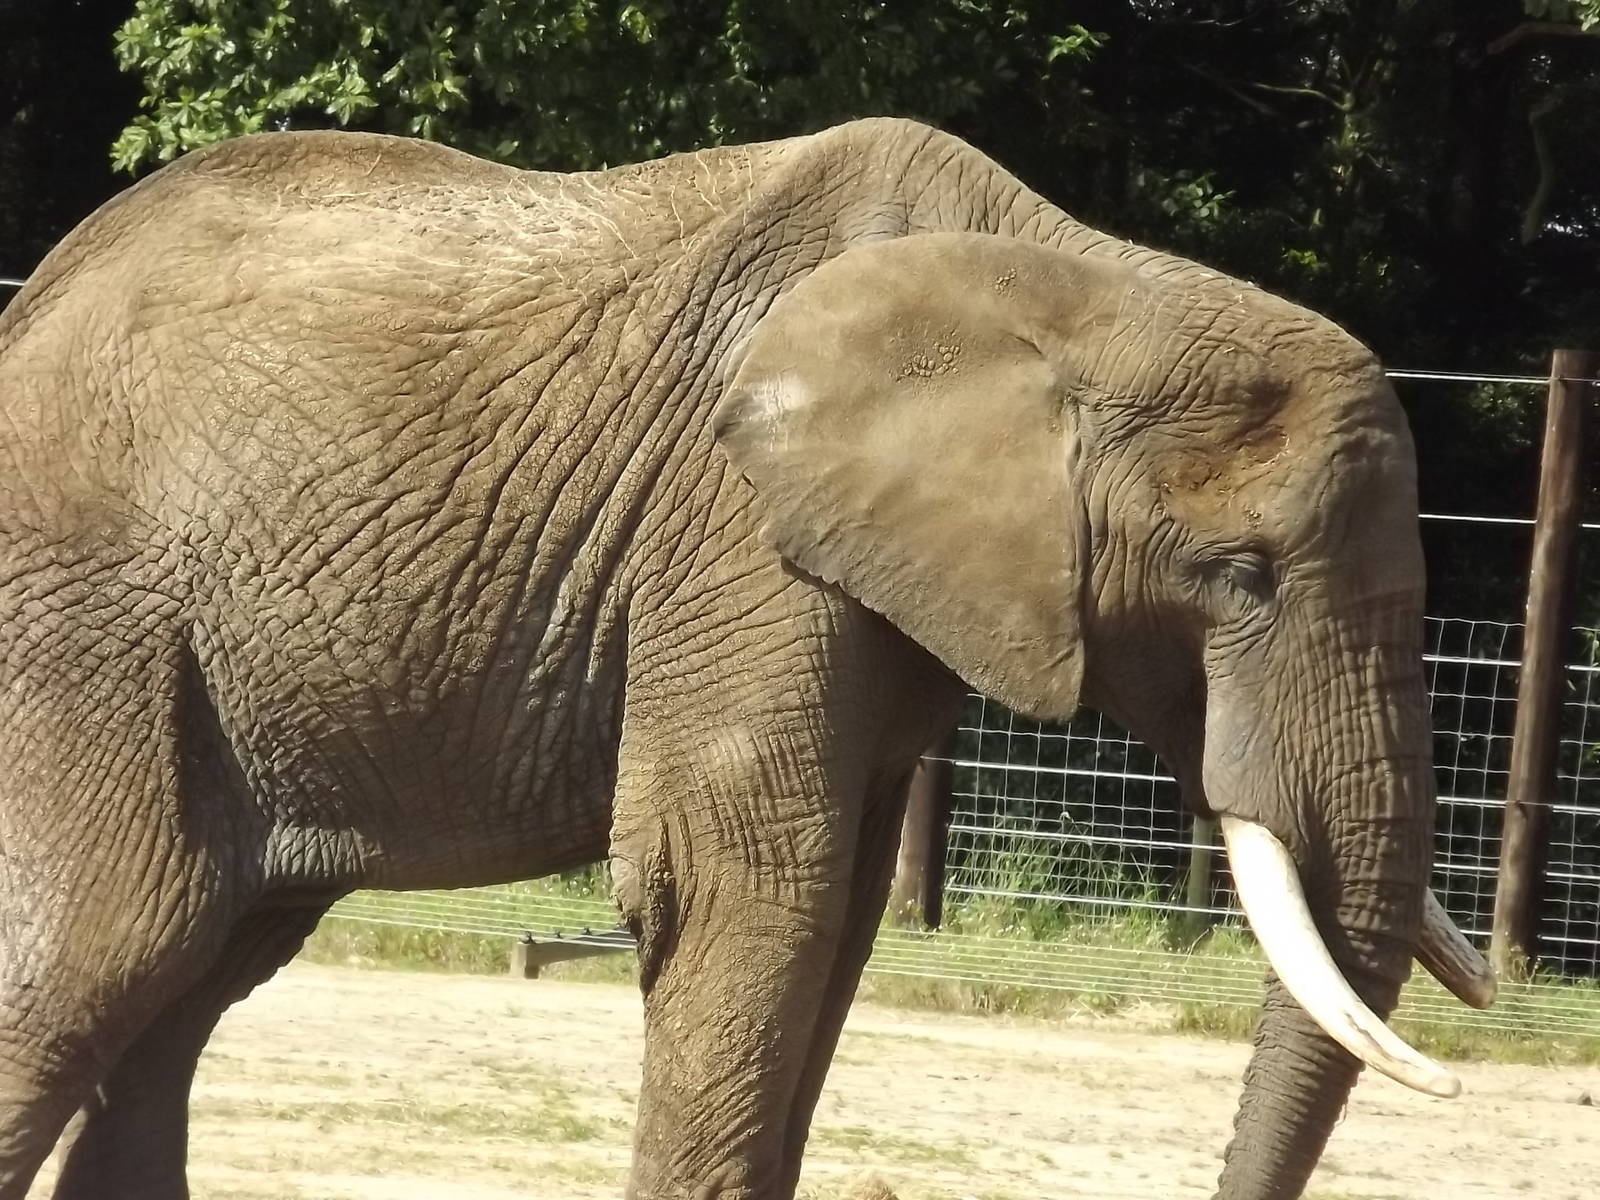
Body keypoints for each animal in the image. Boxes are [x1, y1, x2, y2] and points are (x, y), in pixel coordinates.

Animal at [0, 116, 1495, 1200]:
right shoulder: (732, 534)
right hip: (92, 616)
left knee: (195, 975)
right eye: (1236, 578)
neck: (1087, 282)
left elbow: (838, 922)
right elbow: (741, 888)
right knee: (102, 951)